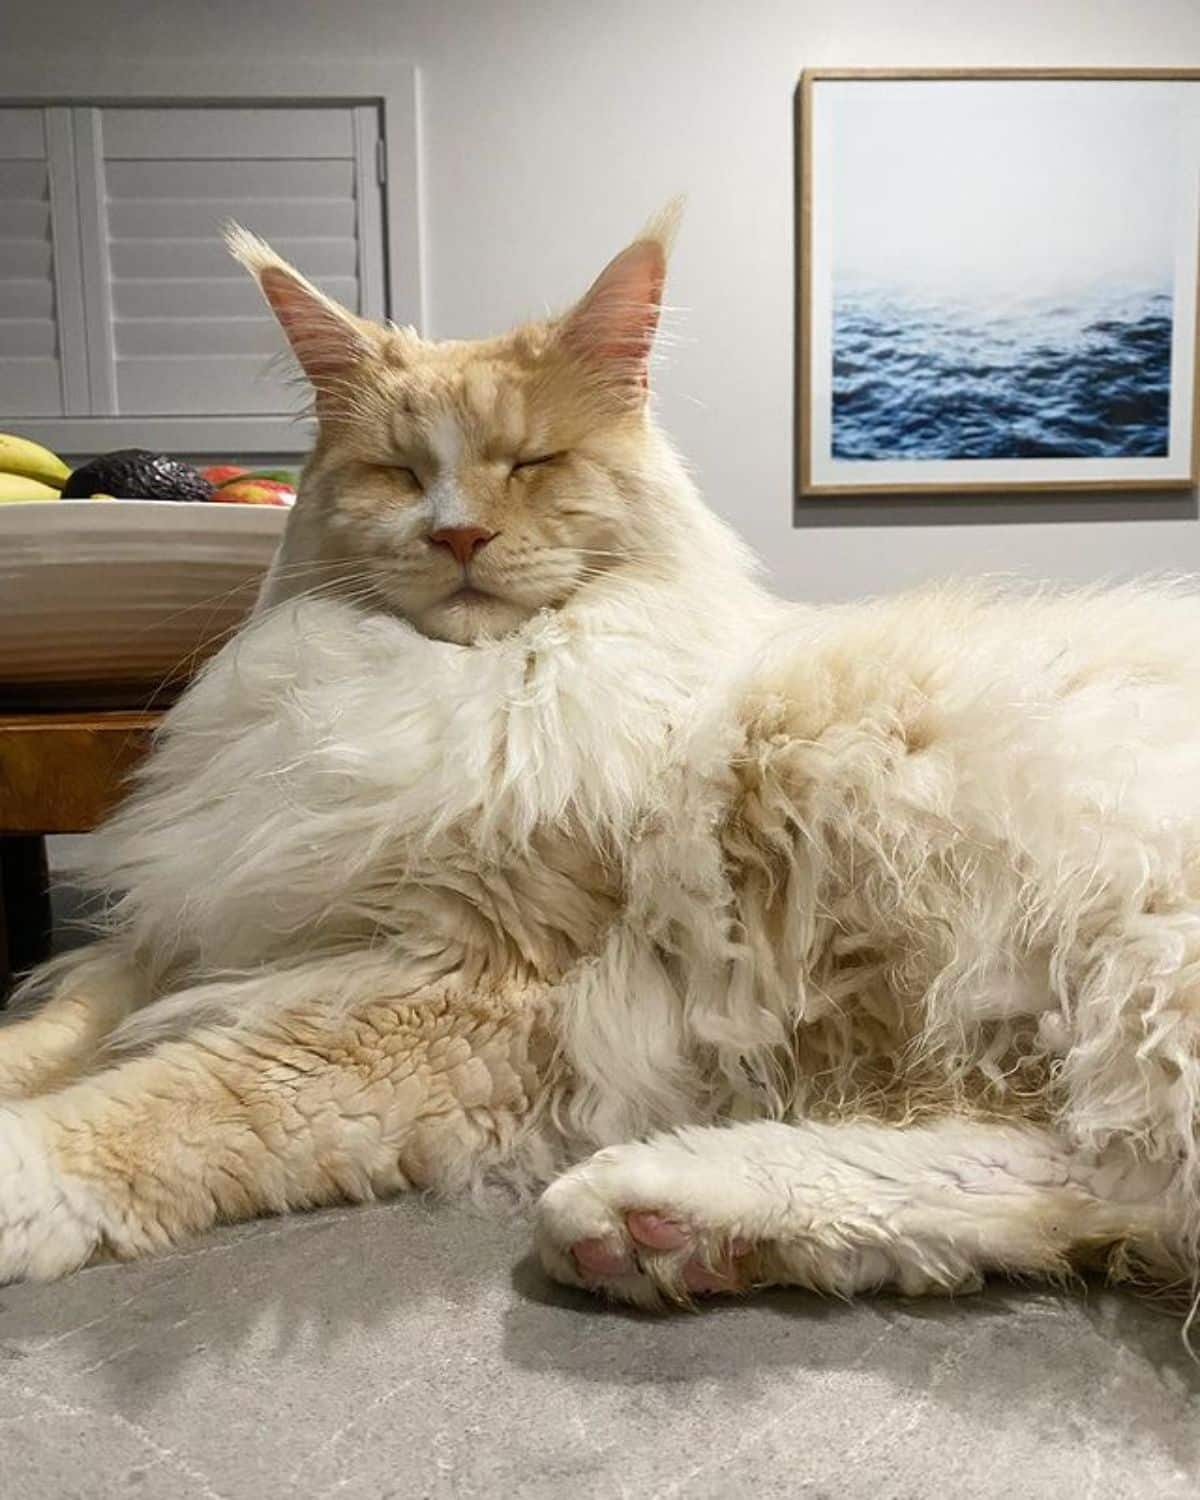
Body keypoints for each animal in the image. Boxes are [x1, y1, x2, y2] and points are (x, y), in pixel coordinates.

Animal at [2, 205, 1200, 1320]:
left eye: (532, 465)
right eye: (400, 474)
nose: (457, 536)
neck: (477, 685)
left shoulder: (465, 992)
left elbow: (179, 1097)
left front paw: (25, 1174)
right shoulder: (224, 922)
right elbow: (58, 1024)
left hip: (1141, 964)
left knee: (1142, 1192)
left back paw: (668, 1218)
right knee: (1102, 1191)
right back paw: (661, 1225)